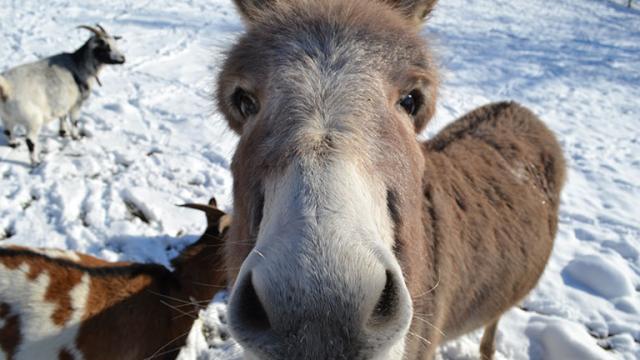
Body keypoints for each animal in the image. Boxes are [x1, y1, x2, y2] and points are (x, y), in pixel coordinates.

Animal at [0, 24, 124, 165]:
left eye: (115, 43)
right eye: (106, 47)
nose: (122, 59)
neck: (79, 65)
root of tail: (6, 87)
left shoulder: (63, 101)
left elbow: (62, 116)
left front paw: (63, 132)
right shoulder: (76, 103)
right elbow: (74, 121)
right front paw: (76, 137)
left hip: (6, 117)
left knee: (8, 130)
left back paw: (14, 144)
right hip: (33, 119)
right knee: (30, 140)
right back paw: (35, 162)